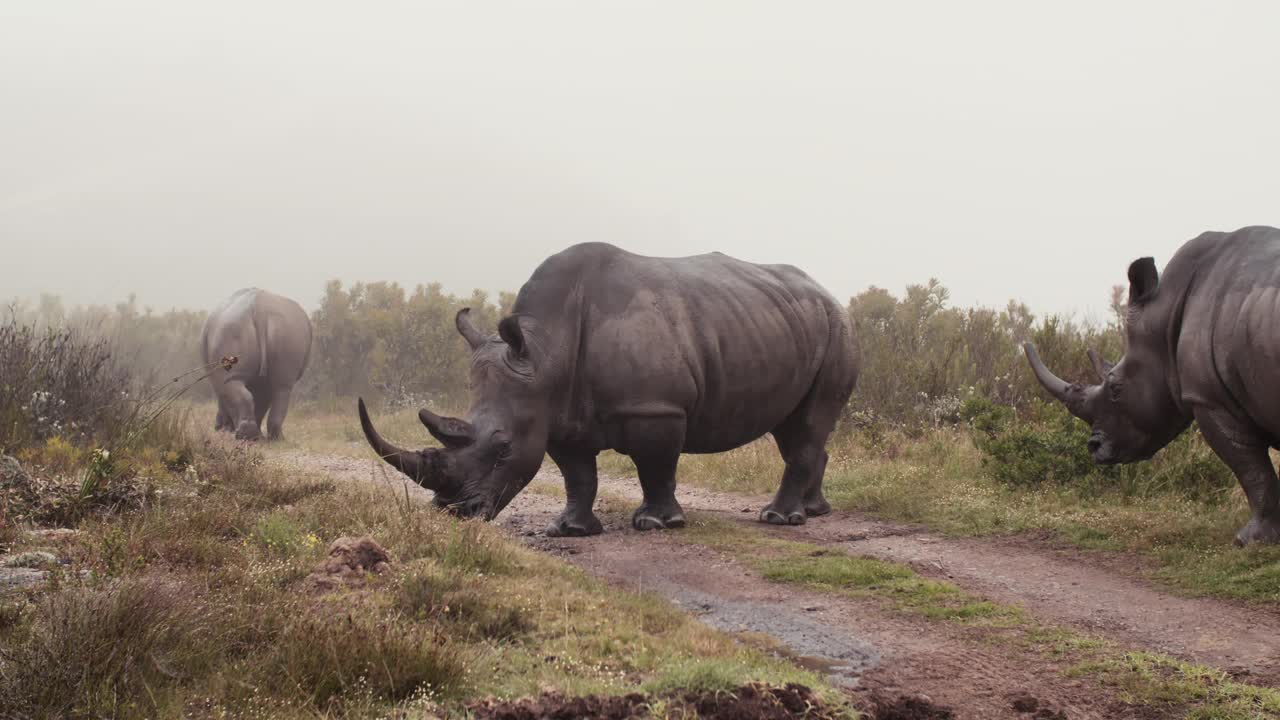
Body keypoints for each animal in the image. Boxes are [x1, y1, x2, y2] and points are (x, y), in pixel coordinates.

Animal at [206, 288, 316, 440]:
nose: (217, 427)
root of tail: (260, 307)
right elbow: (261, 404)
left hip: (231, 334)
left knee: (237, 389)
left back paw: (246, 435)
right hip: (286, 336)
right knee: (279, 394)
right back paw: (274, 439)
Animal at [358, 240, 860, 532]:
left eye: (502, 449)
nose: (452, 513)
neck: (545, 353)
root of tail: (831, 295)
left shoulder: (654, 407)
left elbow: (655, 467)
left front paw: (656, 524)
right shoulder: (555, 415)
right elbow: (578, 475)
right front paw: (571, 529)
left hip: (837, 329)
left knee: (809, 424)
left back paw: (779, 520)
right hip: (787, 323)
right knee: (793, 427)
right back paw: (815, 512)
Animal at [1024, 224, 1280, 543]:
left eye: (1116, 388)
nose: (1093, 447)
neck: (1166, 315)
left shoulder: (1209, 399)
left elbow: (1251, 469)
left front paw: (1250, 541)